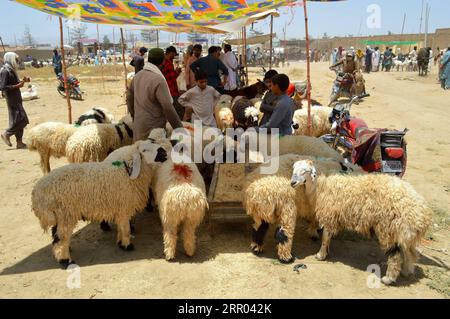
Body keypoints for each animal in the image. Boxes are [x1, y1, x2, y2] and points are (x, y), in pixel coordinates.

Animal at [31, 140, 169, 268]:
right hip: (66, 215)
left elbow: (121, 228)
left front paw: (120, 242)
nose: (164, 152)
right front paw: (127, 245)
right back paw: (66, 260)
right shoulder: (123, 208)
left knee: (56, 236)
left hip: (59, 216)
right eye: (144, 150)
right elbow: (126, 229)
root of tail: (37, 194)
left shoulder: (120, 208)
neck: (125, 173)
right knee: (60, 240)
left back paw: (65, 251)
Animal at [292, 161, 432, 286]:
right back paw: (406, 271)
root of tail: (421, 213)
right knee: (410, 253)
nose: (292, 183)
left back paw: (388, 279)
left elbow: (325, 238)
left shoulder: (329, 216)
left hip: (389, 229)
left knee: (395, 256)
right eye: (294, 169)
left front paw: (320, 255)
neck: (320, 187)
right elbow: (328, 237)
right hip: (404, 233)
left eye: (305, 171)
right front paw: (326, 252)